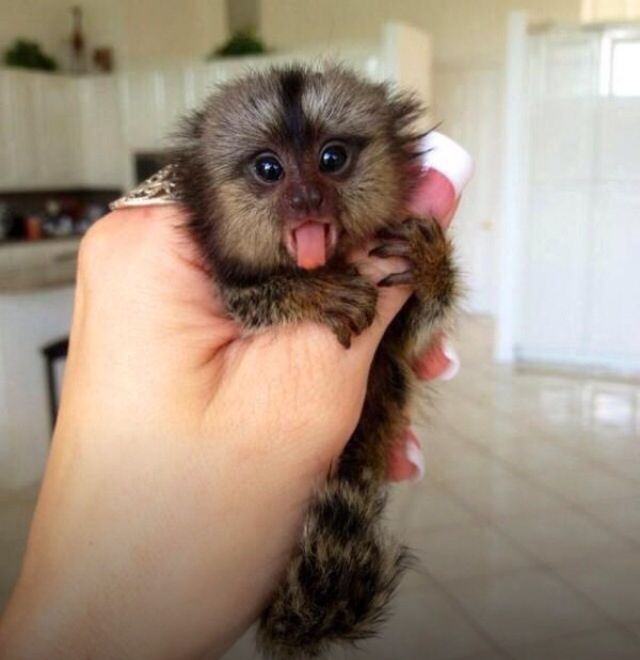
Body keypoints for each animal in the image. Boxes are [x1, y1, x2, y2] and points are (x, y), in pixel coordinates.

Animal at [167, 64, 458, 659]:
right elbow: (249, 302)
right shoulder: (232, 287)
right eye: (269, 169)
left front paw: (431, 264)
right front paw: (314, 294)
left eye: (331, 158)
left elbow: (413, 337)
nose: (305, 198)